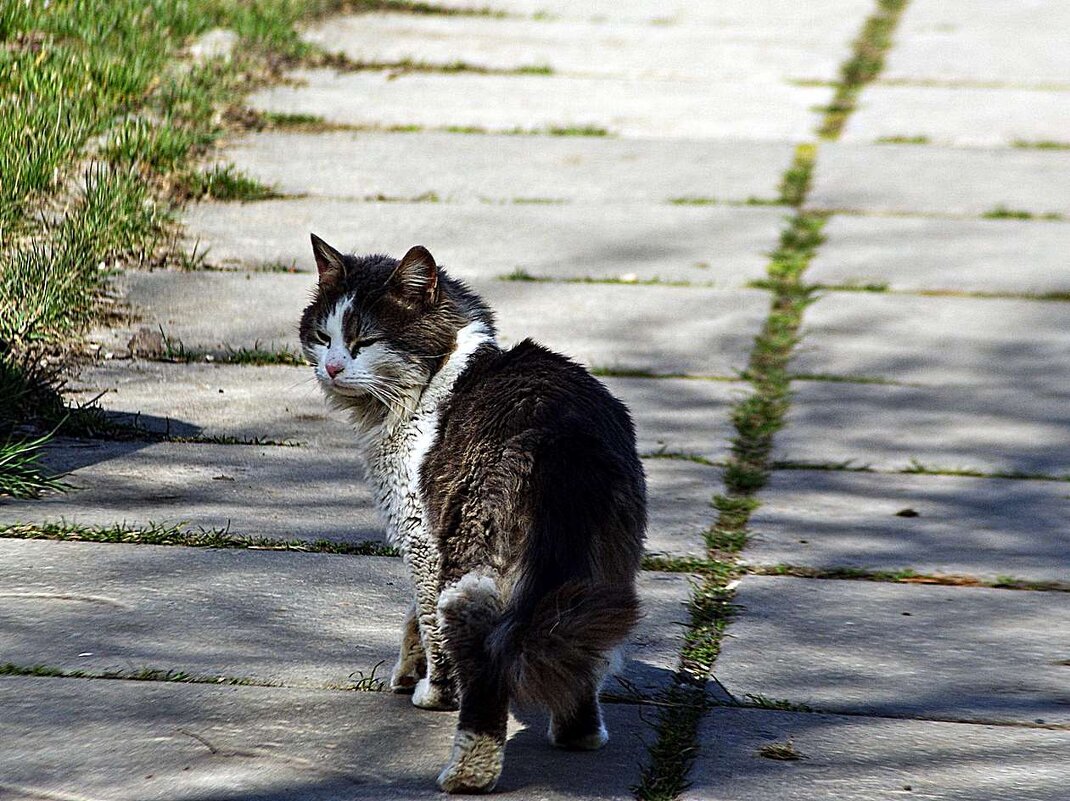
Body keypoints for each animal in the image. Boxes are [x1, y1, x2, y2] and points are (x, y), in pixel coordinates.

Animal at [299, 233, 642, 795]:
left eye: (365, 341)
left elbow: (428, 623)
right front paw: (408, 672)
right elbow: (414, 616)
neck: (438, 374)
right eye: (323, 336)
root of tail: (559, 435)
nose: (331, 368)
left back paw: (467, 773)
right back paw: (579, 733)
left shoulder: (420, 533)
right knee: (580, 639)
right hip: (601, 565)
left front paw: (432, 691)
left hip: (473, 560)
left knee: (481, 650)